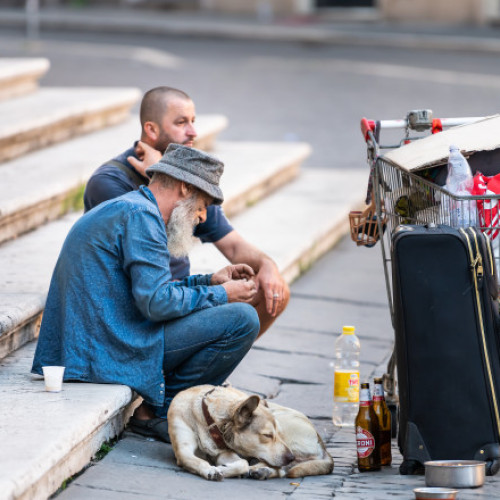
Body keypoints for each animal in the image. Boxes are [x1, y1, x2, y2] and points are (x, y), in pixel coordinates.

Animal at [166, 382, 334, 480]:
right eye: (267, 435)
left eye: (278, 434)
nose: (291, 457)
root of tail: (321, 443)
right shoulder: (184, 452)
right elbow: (199, 460)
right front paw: (211, 469)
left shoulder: (224, 453)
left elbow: (242, 464)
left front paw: (223, 469)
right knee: (281, 469)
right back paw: (263, 471)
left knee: (276, 468)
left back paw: (259, 471)